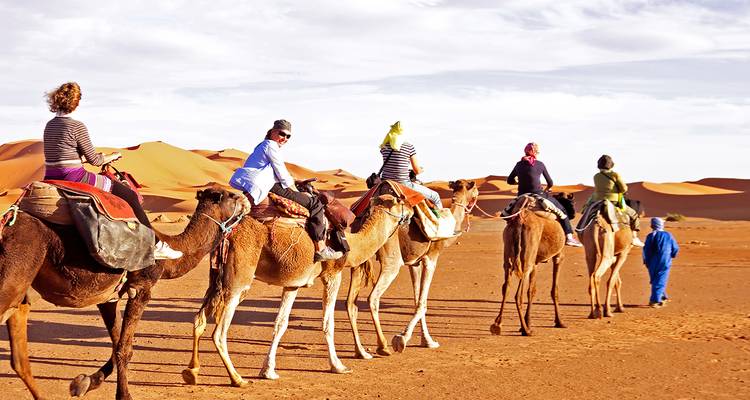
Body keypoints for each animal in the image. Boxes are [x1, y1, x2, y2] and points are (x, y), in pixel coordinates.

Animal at [0, 186, 248, 400]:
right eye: (232, 196)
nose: (247, 201)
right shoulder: (141, 288)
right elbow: (125, 348)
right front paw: (123, 395)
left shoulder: (107, 296)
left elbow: (116, 342)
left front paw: (85, 382)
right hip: (14, 274)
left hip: (20, 292)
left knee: (19, 357)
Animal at [181, 193, 413, 387]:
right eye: (400, 201)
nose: (411, 210)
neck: (352, 244)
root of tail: (228, 233)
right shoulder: (332, 273)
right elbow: (328, 323)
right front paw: (338, 365)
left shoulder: (293, 284)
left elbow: (280, 324)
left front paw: (268, 371)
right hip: (238, 281)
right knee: (219, 332)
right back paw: (237, 379)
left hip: (216, 279)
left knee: (199, 320)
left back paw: (192, 371)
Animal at [346, 179, 479, 358]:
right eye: (475, 189)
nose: (476, 196)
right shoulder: (431, 258)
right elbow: (423, 302)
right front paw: (402, 339)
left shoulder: (414, 263)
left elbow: (416, 299)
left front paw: (427, 341)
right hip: (391, 259)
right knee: (373, 297)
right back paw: (383, 346)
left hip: (359, 257)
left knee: (350, 303)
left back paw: (360, 351)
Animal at [488, 194, 574, 336]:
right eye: (571, 202)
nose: (572, 213)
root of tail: (520, 219)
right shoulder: (558, 256)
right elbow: (554, 290)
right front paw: (559, 322)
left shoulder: (535, 263)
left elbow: (532, 291)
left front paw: (529, 321)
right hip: (527, 254)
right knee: (518, 294)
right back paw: (526, 330)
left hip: (509, 250)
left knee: (506, 286)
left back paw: (497, 325)